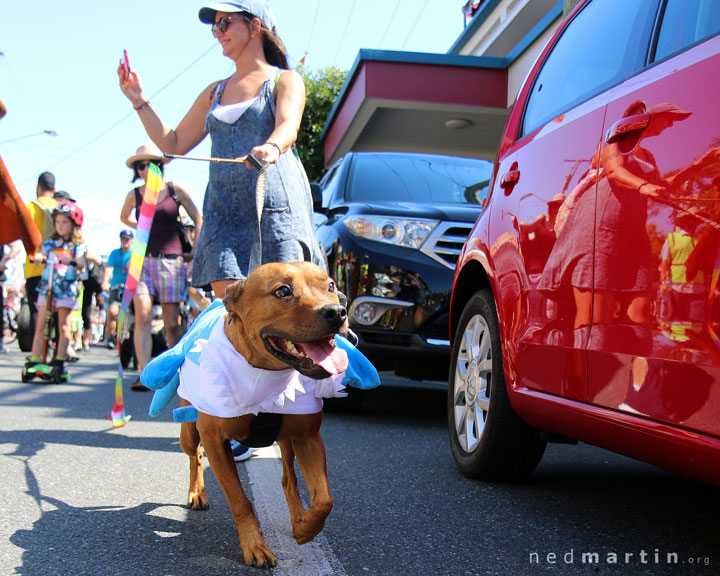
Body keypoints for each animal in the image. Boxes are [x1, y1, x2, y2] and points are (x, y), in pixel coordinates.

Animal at [179, 264, 348, 568]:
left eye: (330, 285)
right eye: (282, 291)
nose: (338, 311)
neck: (268, 372)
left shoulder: (309, 437)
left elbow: (324, 499)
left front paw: (306, 529)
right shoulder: (215, 442)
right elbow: (240, 501)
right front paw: (254, 546)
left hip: (288, 440)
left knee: (289, 478)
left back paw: (298, 516)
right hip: (188, 430)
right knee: (194, 454)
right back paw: (197, 493)